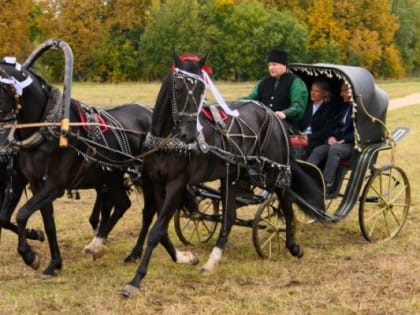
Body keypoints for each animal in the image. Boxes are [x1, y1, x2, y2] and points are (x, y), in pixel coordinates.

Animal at [0, 59, 152, 276]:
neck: (46, 130)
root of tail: (150, 112)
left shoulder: (54, 186)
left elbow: (21, 214)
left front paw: (30, 256)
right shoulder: (36, 184)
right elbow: (48, 223)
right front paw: (54, 263)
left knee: (148, 213)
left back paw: (133, 252)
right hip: (111, 177)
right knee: (123, 204)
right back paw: (98, 244)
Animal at [120, 53, 326, 298]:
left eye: (201, 89)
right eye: (178, 87)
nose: (189, 134)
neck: (166, 141)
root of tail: (272, 116)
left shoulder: (176, 185)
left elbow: (157, 229)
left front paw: (136, 280)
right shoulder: (153, 183)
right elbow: (154, 224)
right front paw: (179, 257)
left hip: (276, 172)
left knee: (286, 206)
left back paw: (292, 246)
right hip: (232, 175)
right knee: (229, 216)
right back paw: (213, 260)